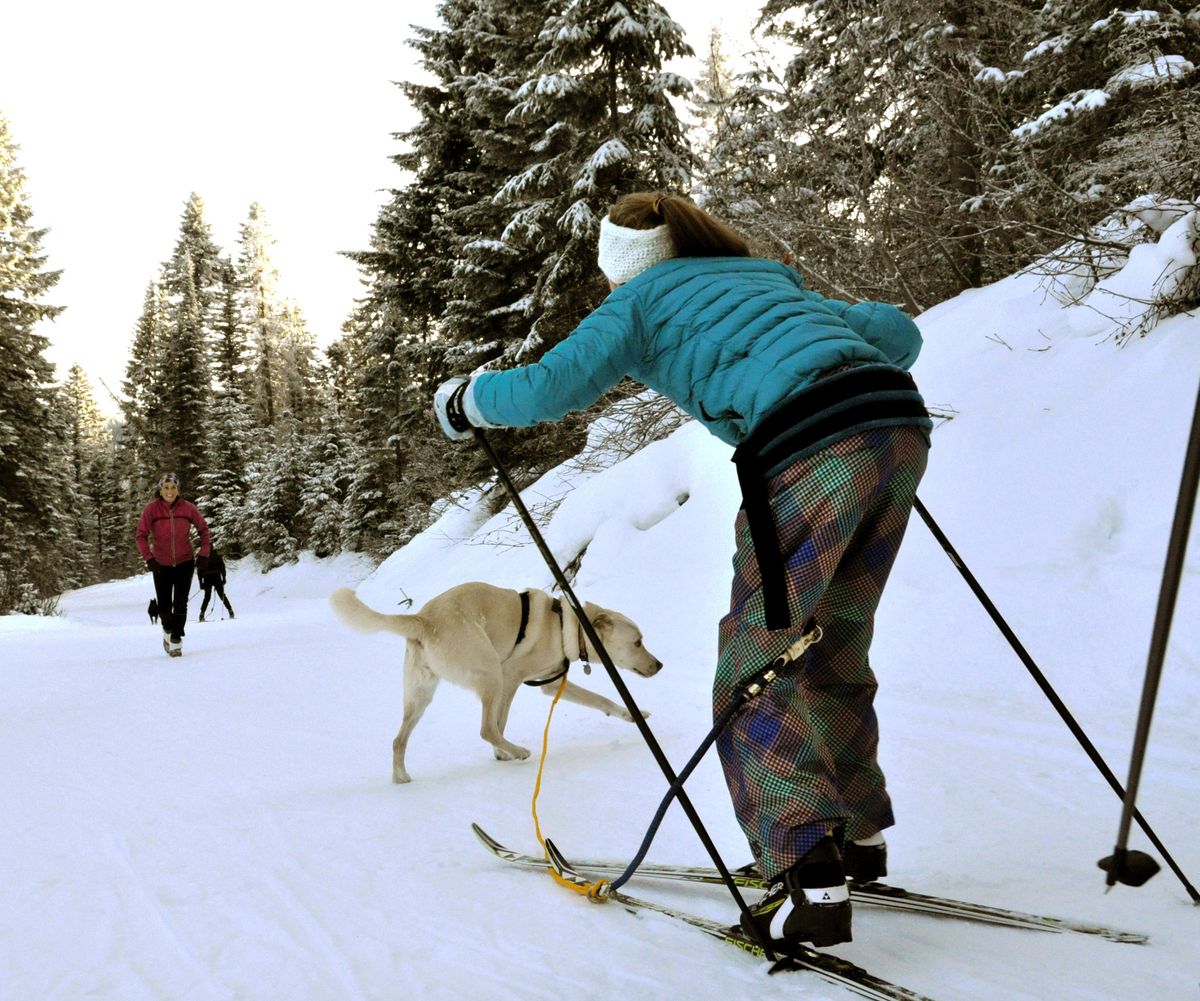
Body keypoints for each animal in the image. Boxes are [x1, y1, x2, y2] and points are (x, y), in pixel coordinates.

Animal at [328, 580, 662, 782]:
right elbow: (499, 724)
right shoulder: (512, 676)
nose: (659, 665)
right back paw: (517, 751)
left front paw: (633, 715)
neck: (567, 626)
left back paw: (401, 777)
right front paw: (503, 754)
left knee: (398, 740)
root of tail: (424, 620)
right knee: (486, 729)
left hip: (419, 696)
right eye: (638, 642)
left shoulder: (552, 684)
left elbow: (601, 699)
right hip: (491, 675)